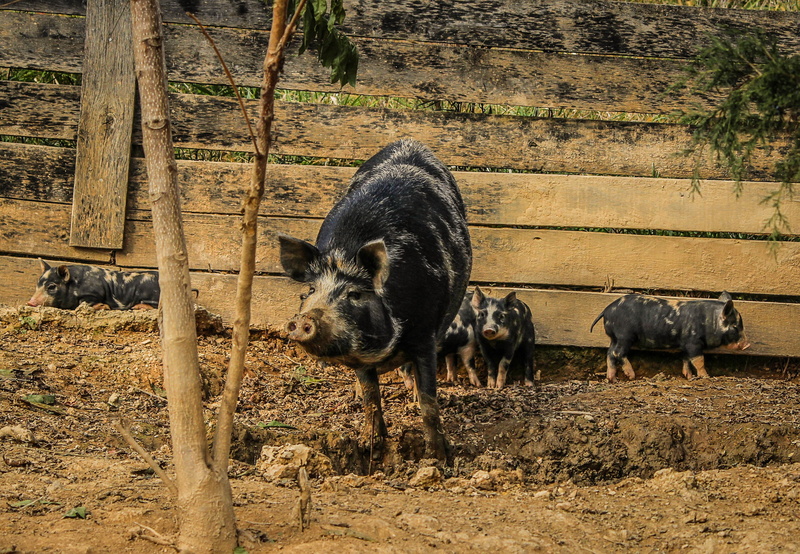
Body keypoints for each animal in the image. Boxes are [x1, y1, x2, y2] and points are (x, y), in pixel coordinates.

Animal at [28, 259, 160, 310]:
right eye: (37, 285)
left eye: (51, 286)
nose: (30, 302)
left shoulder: (94, 293)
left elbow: (83, 302)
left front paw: (103, 306)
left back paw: (138, 307)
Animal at [278, 140, 472, 461]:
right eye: (310, 290)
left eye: (355, 294)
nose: (304, 319)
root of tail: (409, 141)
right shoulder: (359, 355)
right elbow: (371, 397)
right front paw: (371, 445)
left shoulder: (425, 333)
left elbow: (429, 401)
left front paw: (439, 458)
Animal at [590, 292, 750, 382]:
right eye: (735, 326)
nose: (747, 345)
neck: (709, 321)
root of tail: (607, 310)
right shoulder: (693, 342)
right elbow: (699, 360)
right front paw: (706, 377)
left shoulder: (685, 344)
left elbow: (686, 359)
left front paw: (688, 377)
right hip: (625, 335)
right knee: (618, 353)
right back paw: (631, 376)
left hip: (614, 338)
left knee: (610, 353)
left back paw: (612, 379)